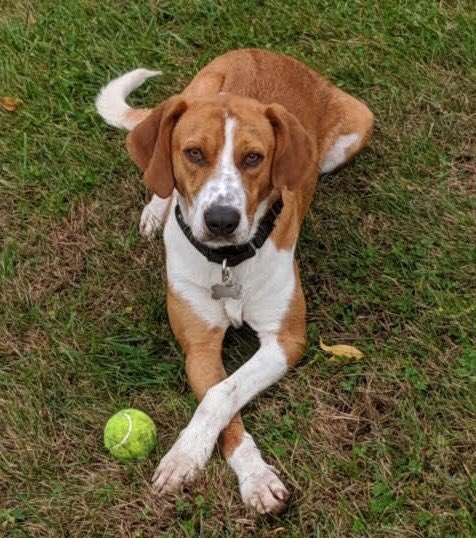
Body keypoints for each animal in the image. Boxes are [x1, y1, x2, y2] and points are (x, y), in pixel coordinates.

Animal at [95, 47, 374, 510]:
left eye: (253, 158)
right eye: (193, 153)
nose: (221, 220)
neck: (228, 263)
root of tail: (263, 52)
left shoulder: (286, 339)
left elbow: (222, 395)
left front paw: (214, 464)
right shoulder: (200, 347)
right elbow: (220, 398)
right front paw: (205, 462)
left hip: (357, 126)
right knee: (157, 175)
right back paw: (155, 210)